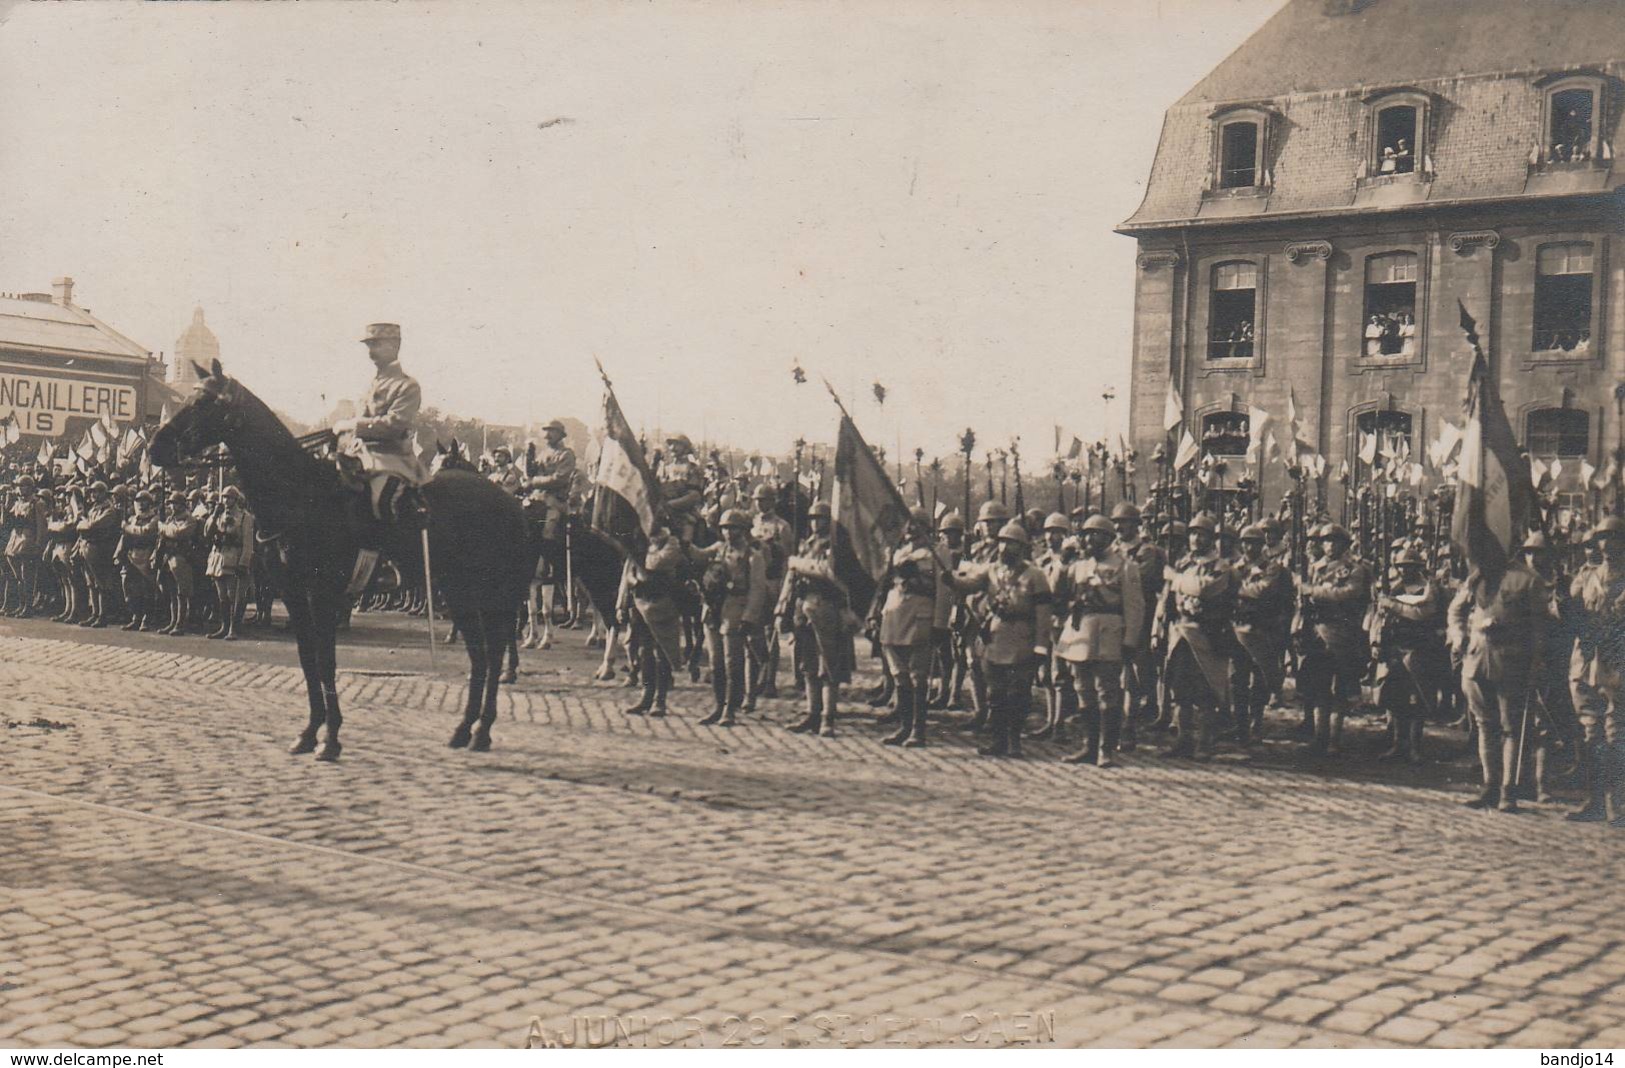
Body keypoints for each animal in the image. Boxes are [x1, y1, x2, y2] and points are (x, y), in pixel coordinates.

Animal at [150, 364, 529, 757]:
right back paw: (465, 729)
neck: (302, 495)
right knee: (481, 654)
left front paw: (330, 738)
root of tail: (511, 504)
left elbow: (326, 661)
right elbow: (308, 659)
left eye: (203, 402)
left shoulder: (322, 595)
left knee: (495, 651)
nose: (155, 446)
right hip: (459, 593)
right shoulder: (295, 594)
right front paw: (309, 731)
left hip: (491, 595)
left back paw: (483, 729)